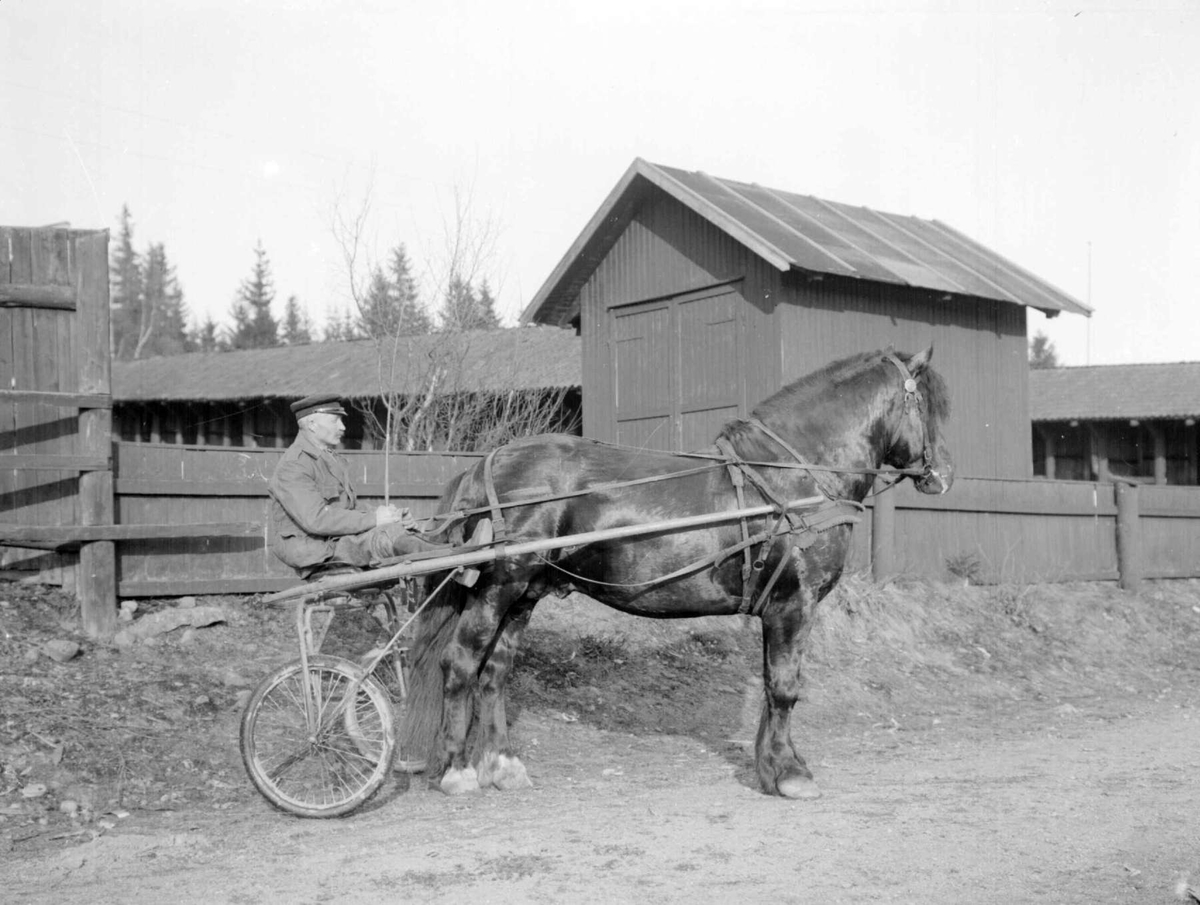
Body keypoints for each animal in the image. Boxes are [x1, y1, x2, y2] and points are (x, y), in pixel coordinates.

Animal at [403, 345, 955, 796]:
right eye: (928, 405)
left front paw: (772, 766)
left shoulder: (776, 610)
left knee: (496, 671)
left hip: (524, 595)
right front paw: (789, 774)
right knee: (461, 663)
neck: (796, 478)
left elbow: (770, 683)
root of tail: (488, 462)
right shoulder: (793, 605)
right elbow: (785, 686)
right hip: (498, 589)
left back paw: (502, 765)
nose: (944, 474)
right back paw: (456, 770)